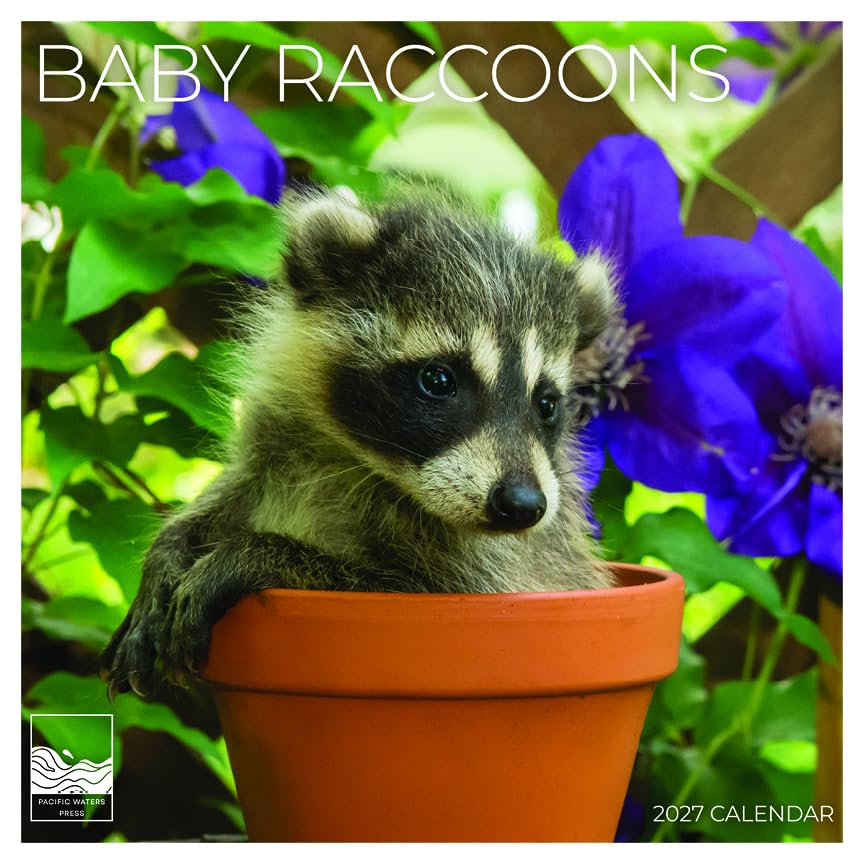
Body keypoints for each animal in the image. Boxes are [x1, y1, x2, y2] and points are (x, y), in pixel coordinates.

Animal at [101, 185, 619, 698]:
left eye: (546, 404)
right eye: (438, 380)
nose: (523, 505)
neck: (357, 459)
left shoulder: (502, 572)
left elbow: (394, 585)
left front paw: (259, 554)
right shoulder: (278, 445)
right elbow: (234, 492)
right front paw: (168, 548)